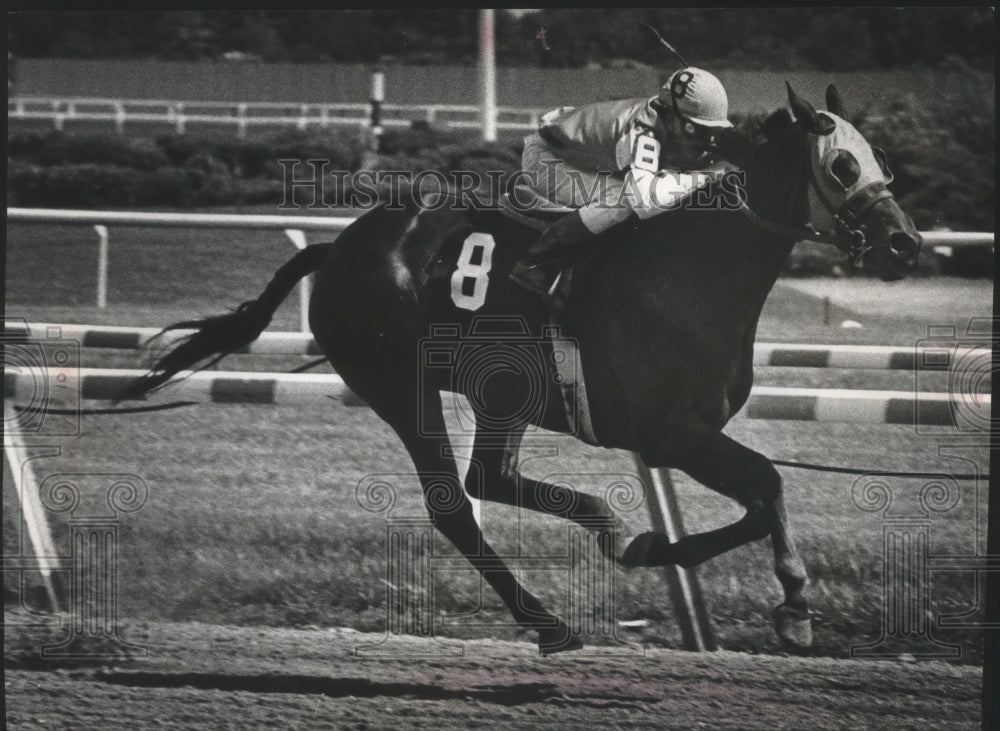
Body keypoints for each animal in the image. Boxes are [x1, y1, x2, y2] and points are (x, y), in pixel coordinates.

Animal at [123, 83, 920, 656]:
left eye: (881, 158)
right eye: (842, 165)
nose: (905, 245)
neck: (691, 275)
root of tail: (340, 246)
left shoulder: (679, 437)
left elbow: (760, 495)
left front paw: (663, 550)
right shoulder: (667, 433)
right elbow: (768, 482)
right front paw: (790, 604)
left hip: (498, 391)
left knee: (490, 480)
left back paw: (600, 532)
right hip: (400, 384)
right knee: (454, 504)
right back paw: (549, 620)